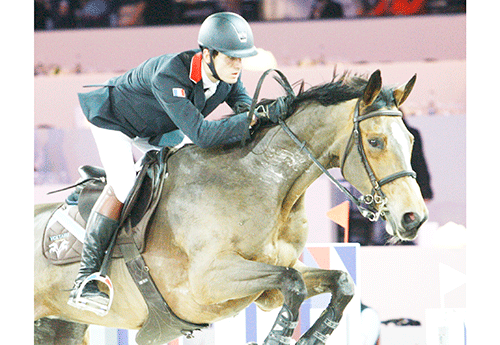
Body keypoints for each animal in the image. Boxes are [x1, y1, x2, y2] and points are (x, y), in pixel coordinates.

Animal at [33, 68, 428, 342]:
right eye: (375, 141)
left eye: (410, 139)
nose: (414, 219)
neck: (264, 184)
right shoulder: (208, 281)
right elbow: (293, 284)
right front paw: (278, 338)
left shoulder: (274, 281)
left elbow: (339, 283)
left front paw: (312, 336)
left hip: (60, 327)